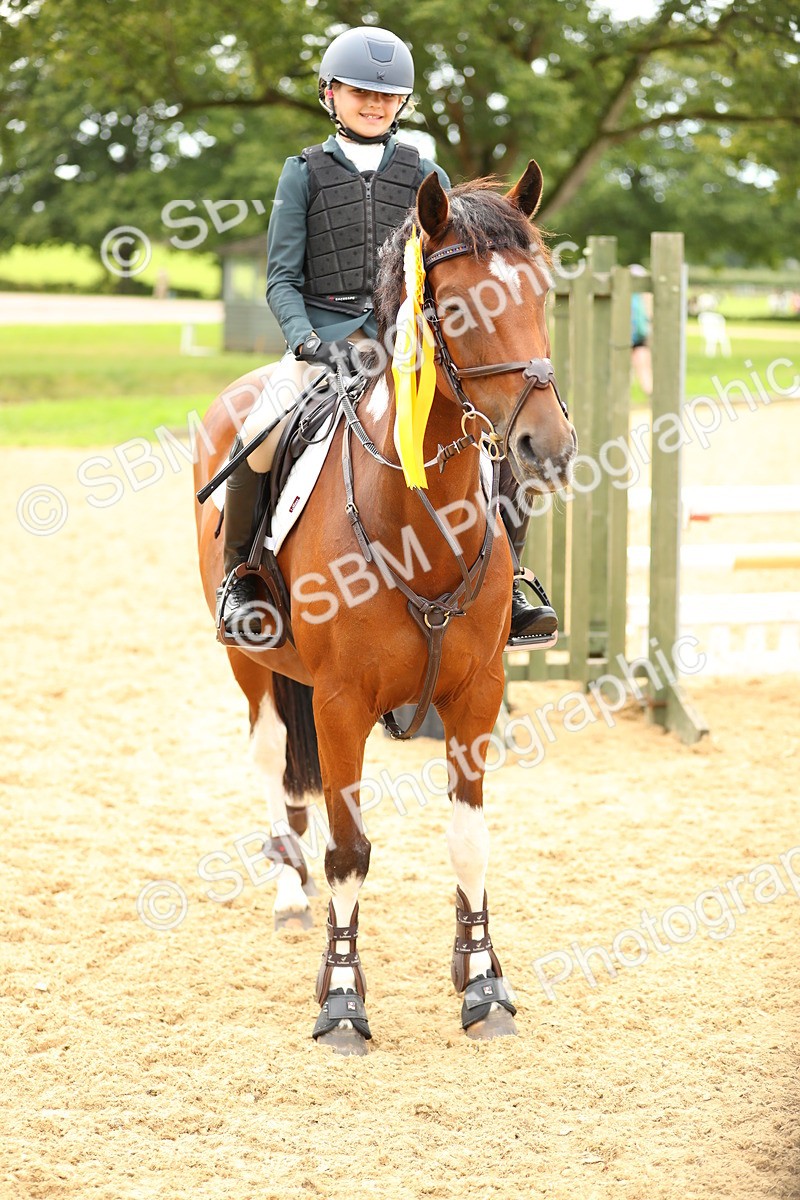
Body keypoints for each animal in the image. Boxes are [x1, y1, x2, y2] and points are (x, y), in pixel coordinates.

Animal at [194, 162, 576, 1054]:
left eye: (543, 290)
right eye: (458, 307)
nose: (548, 446)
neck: (415, 523)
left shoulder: (475, 696)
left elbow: (468, 840)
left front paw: (482, 983)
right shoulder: (339, 704)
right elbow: (348, 850)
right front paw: (341, 998)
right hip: (249, 662)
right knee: (274, 764)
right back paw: (289, 893)